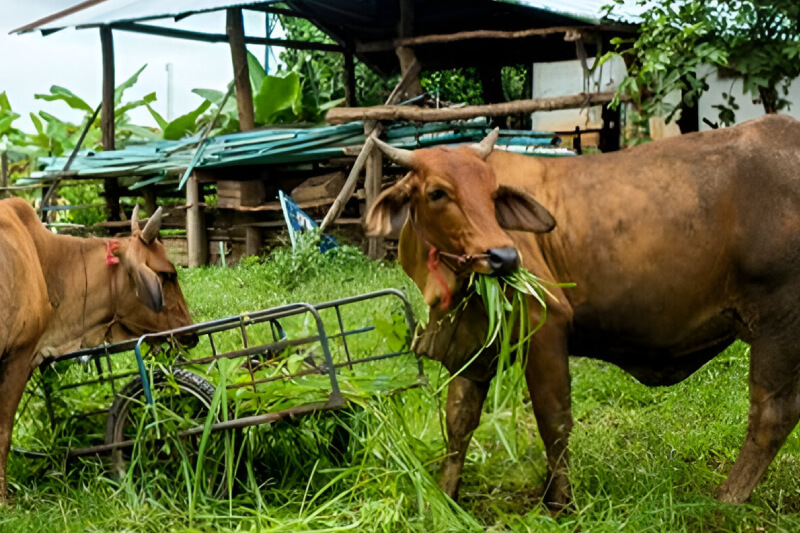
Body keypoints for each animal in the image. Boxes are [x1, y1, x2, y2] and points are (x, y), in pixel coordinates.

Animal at [370, 117, 800, 512]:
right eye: (437, 192)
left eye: (493, 193)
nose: (504, 257)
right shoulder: (475, 345)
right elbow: (459, 420)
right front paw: (446, 497)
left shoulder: (544, 325)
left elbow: (554, 420)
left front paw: (558, 502)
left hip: (777, 323)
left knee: (771, 416)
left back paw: (728, 499)